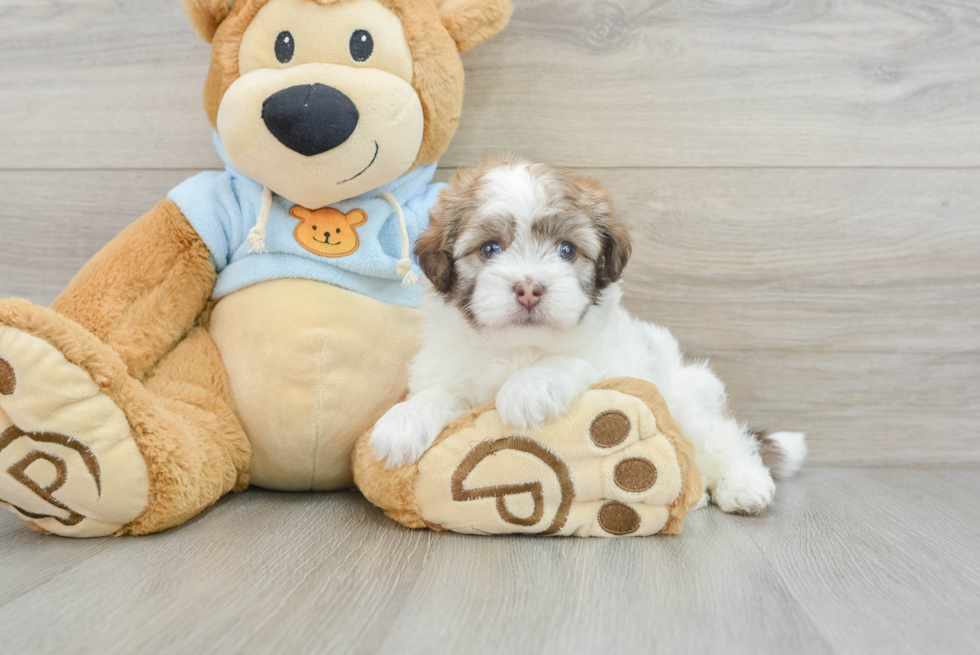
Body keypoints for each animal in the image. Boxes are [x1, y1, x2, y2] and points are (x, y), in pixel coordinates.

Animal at [372, 156, 808, 516]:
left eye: (566, 250)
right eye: (490, 249)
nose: (529, 289)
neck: (518, 347)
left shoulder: (620, 364)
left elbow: (574, 362)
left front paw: (528, 388)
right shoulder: (451, 369)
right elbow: (441, 393)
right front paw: (403, 422)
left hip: (690, 400)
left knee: (725, 441)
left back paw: (744, 486)